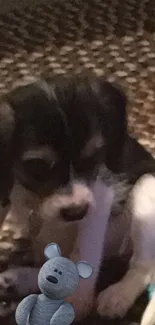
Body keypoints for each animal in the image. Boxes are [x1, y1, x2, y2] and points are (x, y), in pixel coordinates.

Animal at [0, 74, 155, 322]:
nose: (75, 212)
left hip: (146, 187)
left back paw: (118, 295)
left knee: (143, 266)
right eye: (38, 167)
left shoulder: (99, 195)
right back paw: (21, 279)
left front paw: (78, 303)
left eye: (93, 158)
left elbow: (85, 251)